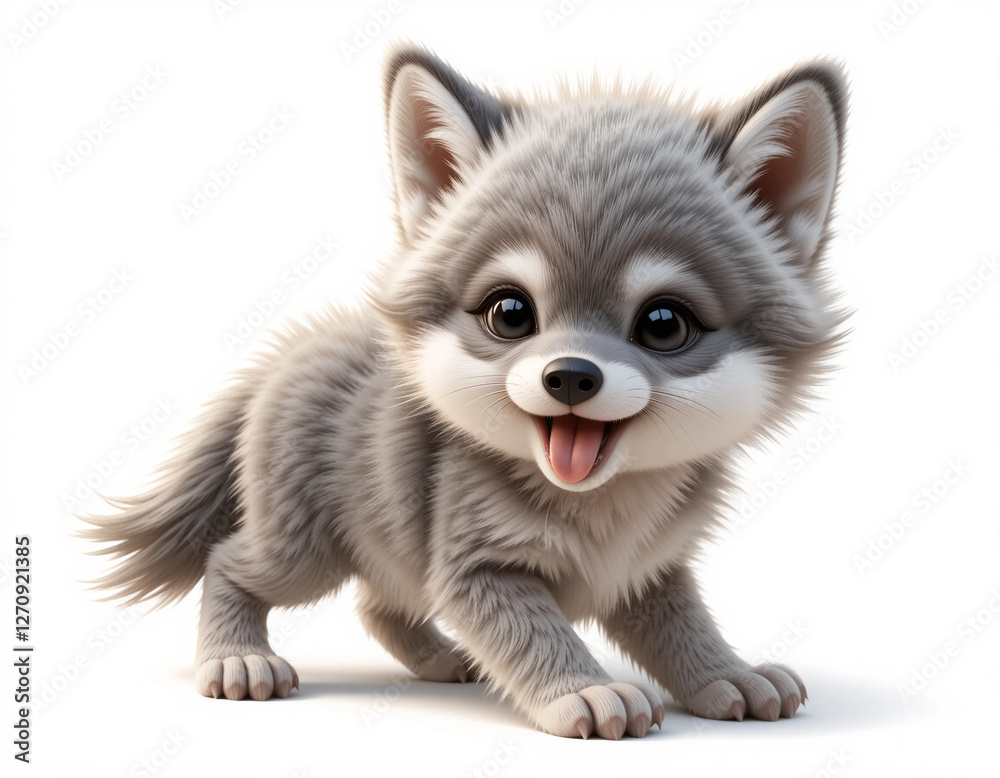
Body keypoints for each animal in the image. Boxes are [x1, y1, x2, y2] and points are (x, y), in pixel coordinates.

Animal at [84, 44, 847, 739]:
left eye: (664, 324)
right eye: (511, 313)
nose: (571, 375)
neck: (602, 513)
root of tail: (297, 349)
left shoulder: (648, 572)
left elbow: (686, 629)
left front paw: (727, 673)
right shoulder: (479, 569)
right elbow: (538, 633)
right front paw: (583, 688)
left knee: (380, 606)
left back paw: (440, 658)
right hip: (303, 549)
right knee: (232, 564)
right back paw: (237, 657)